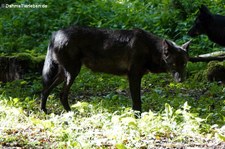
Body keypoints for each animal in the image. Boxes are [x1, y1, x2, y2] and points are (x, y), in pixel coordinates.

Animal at [40, 26, 190, 113]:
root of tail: (56, 33)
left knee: (45, 90)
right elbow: (137, 101)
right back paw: (71, 113)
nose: (182, 80)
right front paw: (137, 118)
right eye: (174, 64)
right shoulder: (134, 77)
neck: (150, 49)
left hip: (63, 74)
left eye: (184, 64)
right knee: (61, 94)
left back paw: (44, 111)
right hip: (72, 73)